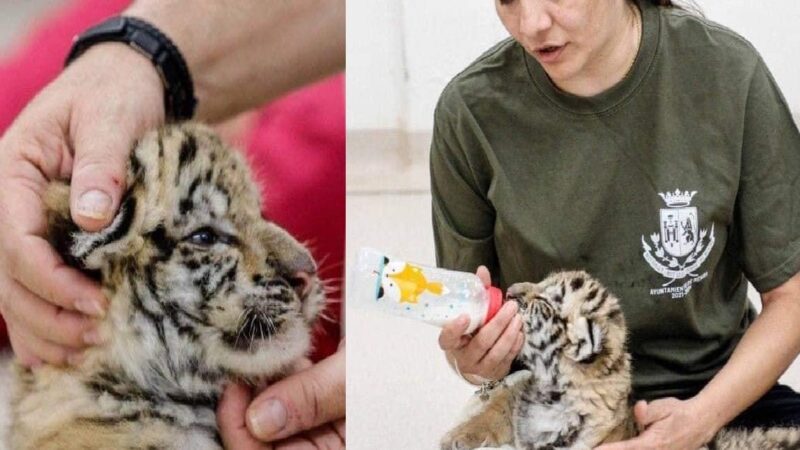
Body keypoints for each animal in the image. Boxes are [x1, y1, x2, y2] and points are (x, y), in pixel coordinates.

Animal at [441, 271, 800, 450]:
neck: (553, 388)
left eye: (546, 300)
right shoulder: (519, 394)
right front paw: (458, 437)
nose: (510, 290)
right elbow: (496, 408)